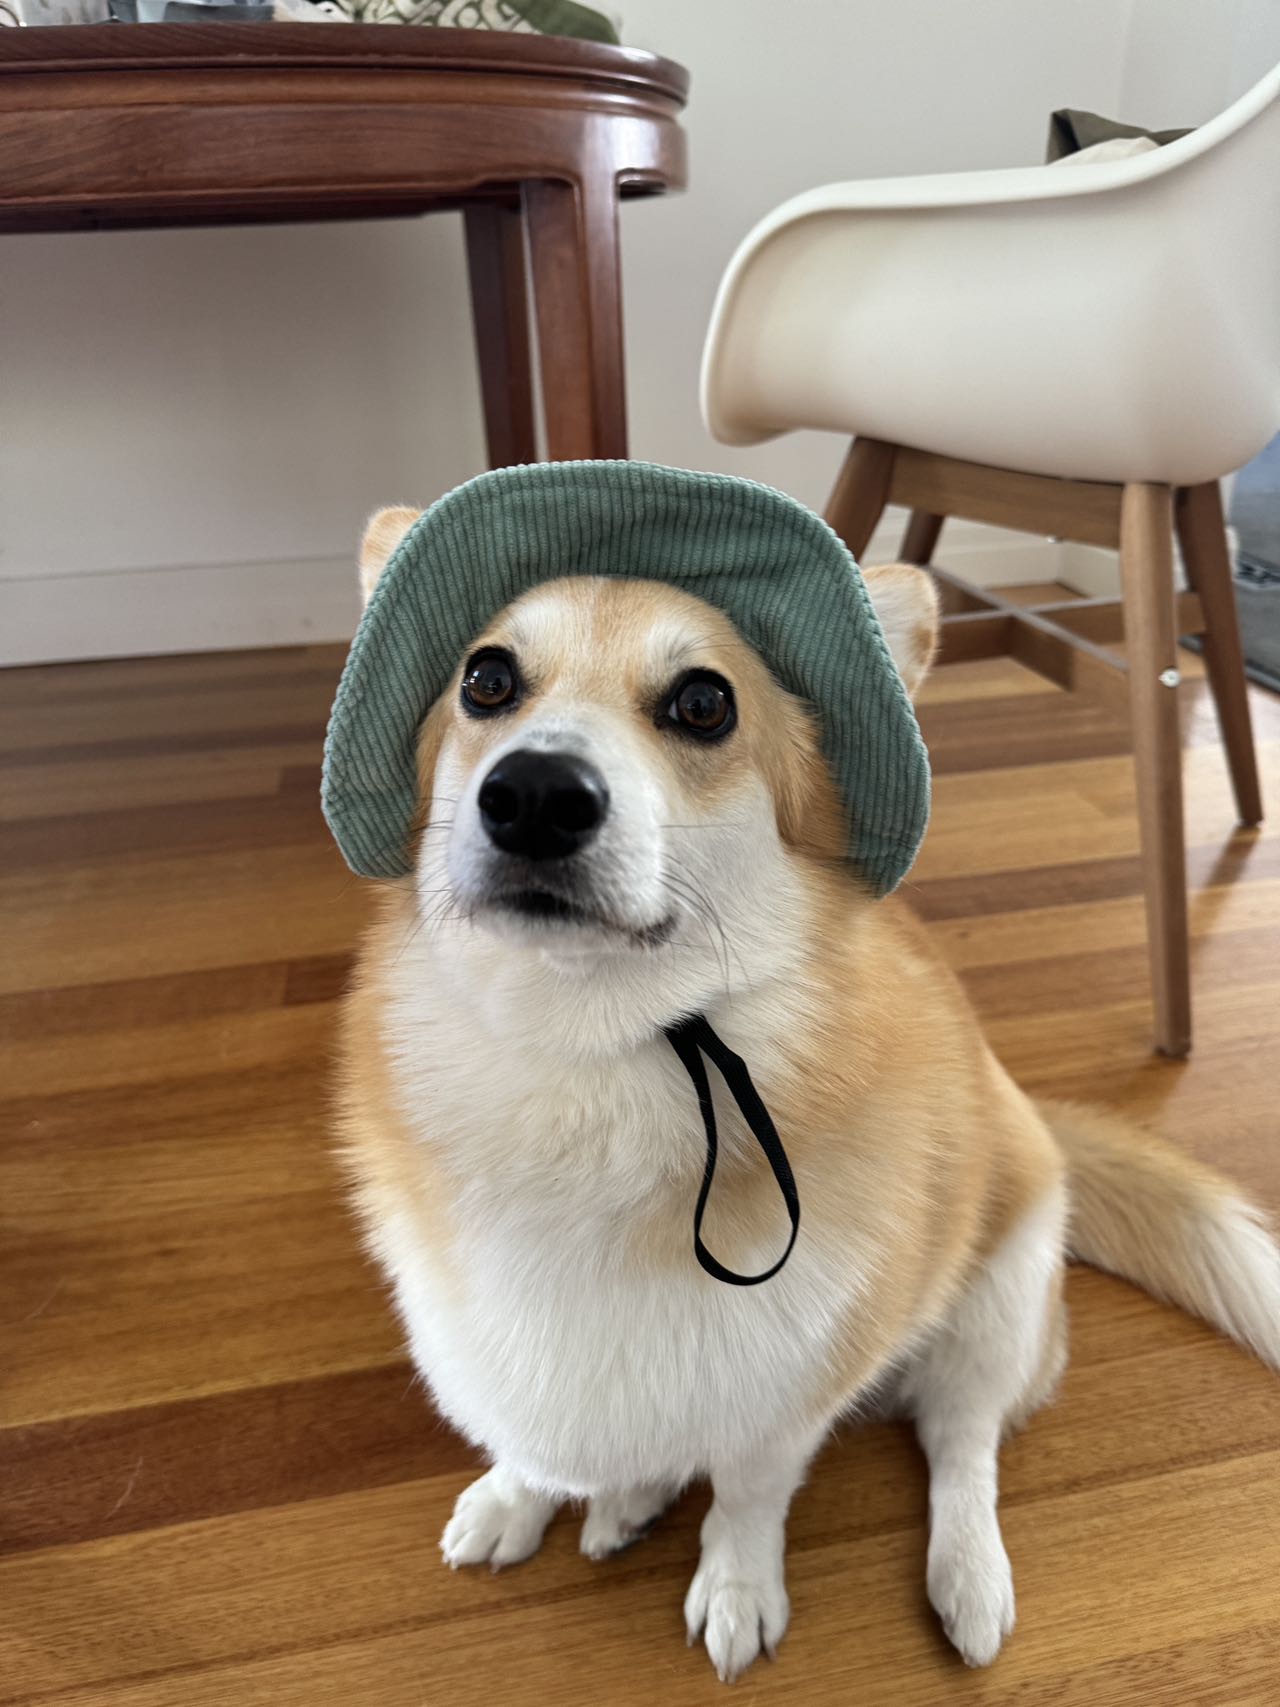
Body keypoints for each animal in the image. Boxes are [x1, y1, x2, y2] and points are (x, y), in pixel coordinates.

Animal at [337, 501, 1280, 1679]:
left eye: (703, 703)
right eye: (487, 680)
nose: (535, 796)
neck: (593, 1045)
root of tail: (1027, 1113)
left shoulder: (793, 1374)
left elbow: (748, 1493)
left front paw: (738, 1589)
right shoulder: (494, 1332)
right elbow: (531, 1432)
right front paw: (520, 1497)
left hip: (996, 1302)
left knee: (962, 1448)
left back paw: (968, 1579)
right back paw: (626, 1499)